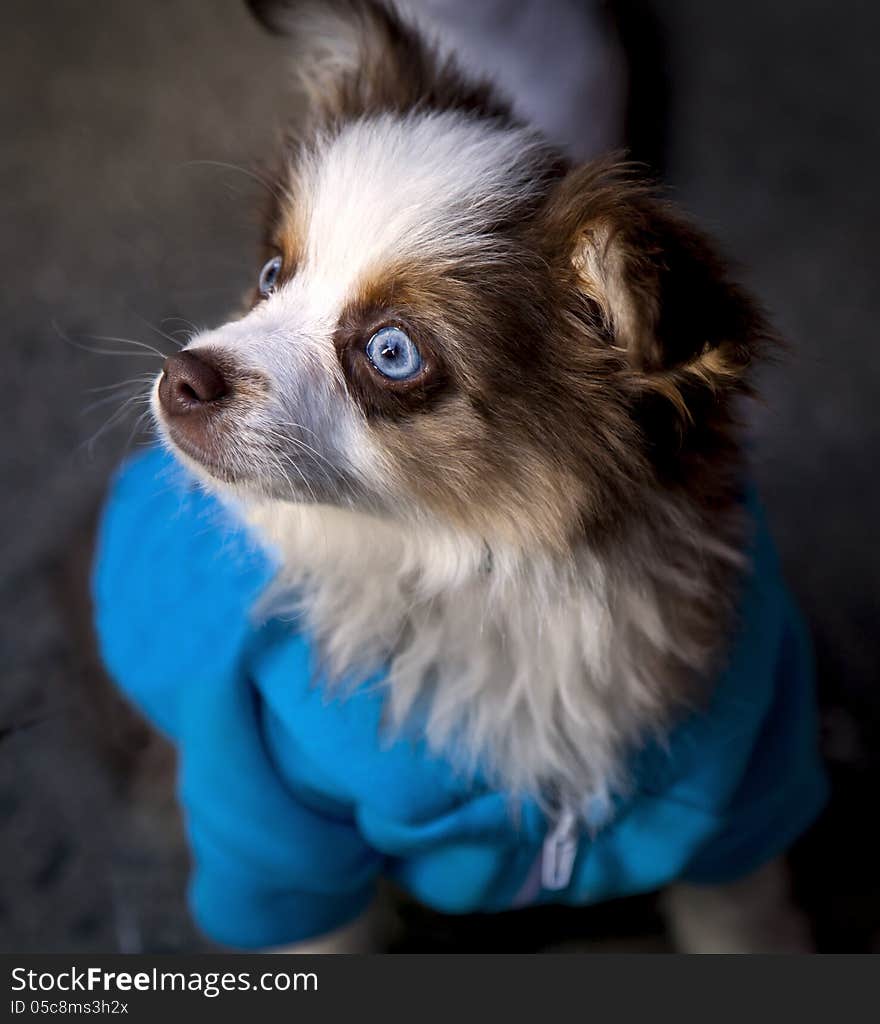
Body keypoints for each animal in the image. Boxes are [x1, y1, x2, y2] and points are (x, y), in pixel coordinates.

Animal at [92, 0, 827, 950]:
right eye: (271, 274)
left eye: (391, 353)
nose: (181, 376)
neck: (486, 571)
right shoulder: (277, 832)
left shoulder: (739, 800)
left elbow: (742, 920)